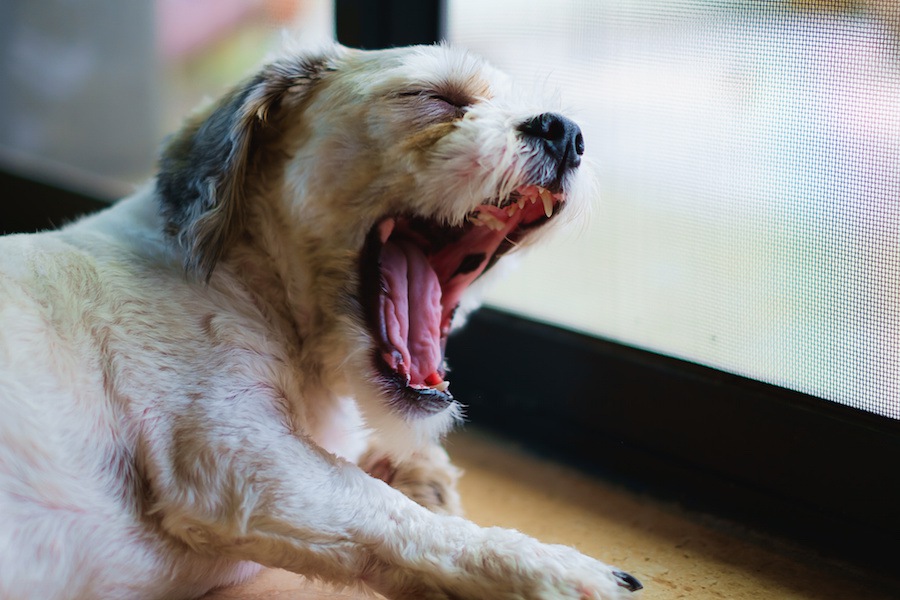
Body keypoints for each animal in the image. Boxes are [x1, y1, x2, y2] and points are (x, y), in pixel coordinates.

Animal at [0, 44, 640, 596]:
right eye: (436, 97)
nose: (565, 131)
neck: (255, 282)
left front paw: (420, 473)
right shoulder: (233, 453)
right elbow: (385, 509)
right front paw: (543, 567)